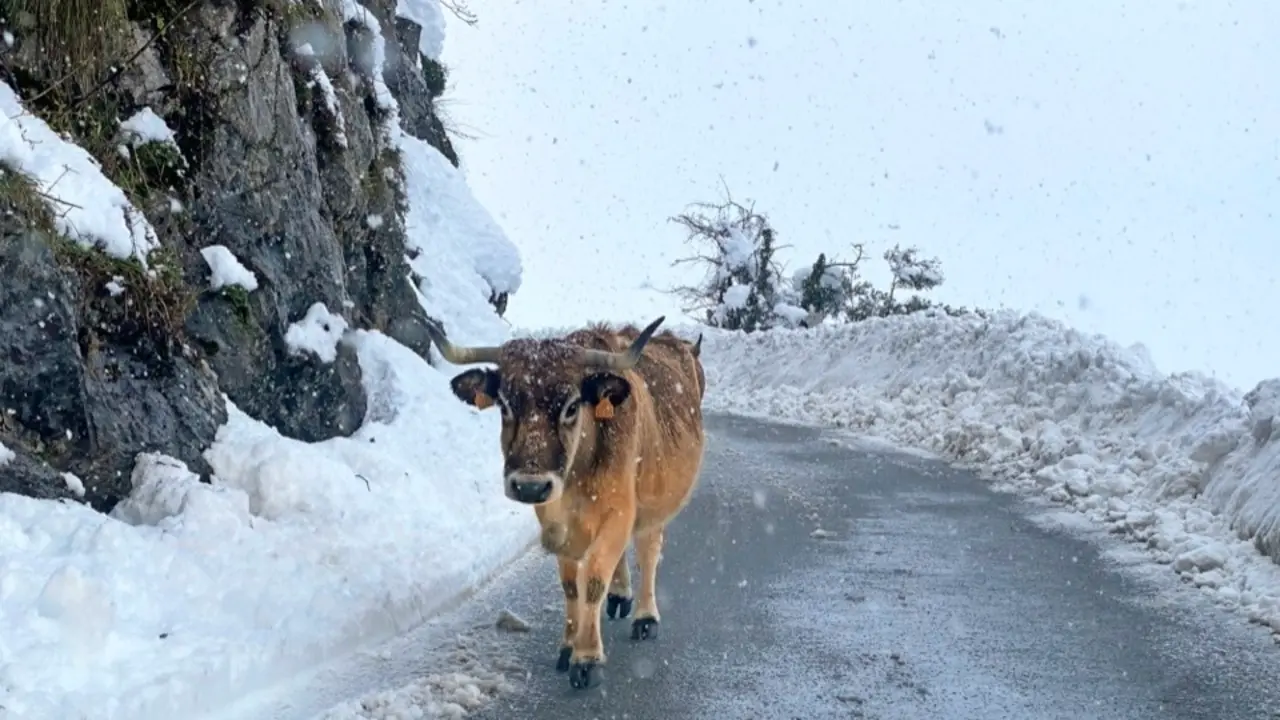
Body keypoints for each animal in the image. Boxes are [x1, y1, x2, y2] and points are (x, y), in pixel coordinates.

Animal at [425, 316, 706, 690]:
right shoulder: (555, 522)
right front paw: (568, 646)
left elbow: (594, 579)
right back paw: (621, 596)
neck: (579, 475)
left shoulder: (620, 513)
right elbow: (571, 584)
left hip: (655, 505)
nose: (529, 485)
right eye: (505, 404)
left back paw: (645, 617)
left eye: (572, 406)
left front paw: (586, 658)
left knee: (648, 550)